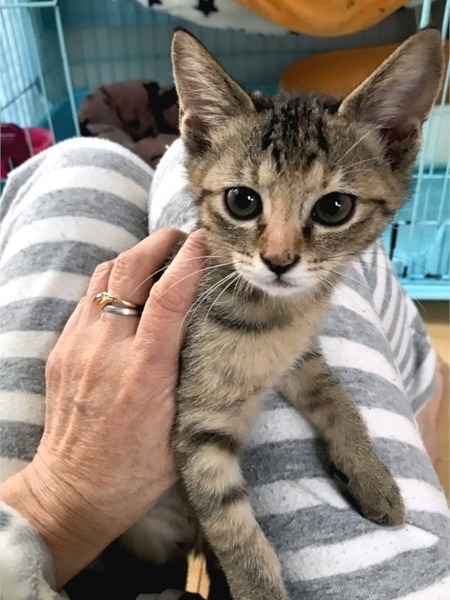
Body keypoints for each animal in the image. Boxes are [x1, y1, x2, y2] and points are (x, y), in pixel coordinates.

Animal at [121, 28, 443, 600]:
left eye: (334, 208)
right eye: (242, 201)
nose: (278, 260)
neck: (275, 317)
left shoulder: (301, 358)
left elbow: (339, 399)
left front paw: (374, 478)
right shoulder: (196, 429)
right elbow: (233, 528)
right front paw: (257, 585)